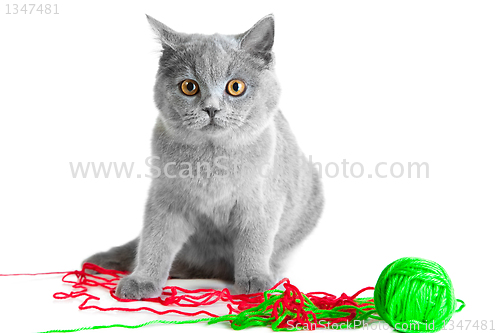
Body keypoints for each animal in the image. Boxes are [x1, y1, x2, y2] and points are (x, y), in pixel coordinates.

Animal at [82, 14, 324, 296]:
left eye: (236, 87)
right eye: (189, 86)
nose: (211, 108)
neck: (212, 159)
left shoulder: (261, 202)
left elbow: (255, 241)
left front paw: (254, 280)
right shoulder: (166, 198)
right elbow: (155, 239)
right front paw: (143, 280)